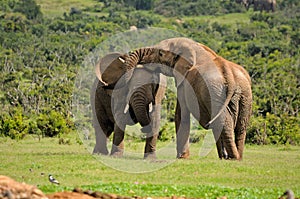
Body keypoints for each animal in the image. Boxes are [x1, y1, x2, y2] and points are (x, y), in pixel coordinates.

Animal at [123, 37, 252, 160]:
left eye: (160, 53)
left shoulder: (184, 81)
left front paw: (182, 157)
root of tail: (230, 77)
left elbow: (181, 114)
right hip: (245, 94)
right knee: (241, 126)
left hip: (215, 93)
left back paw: (232, 158)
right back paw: (235, 158)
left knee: (223, 122)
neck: (192, 46)